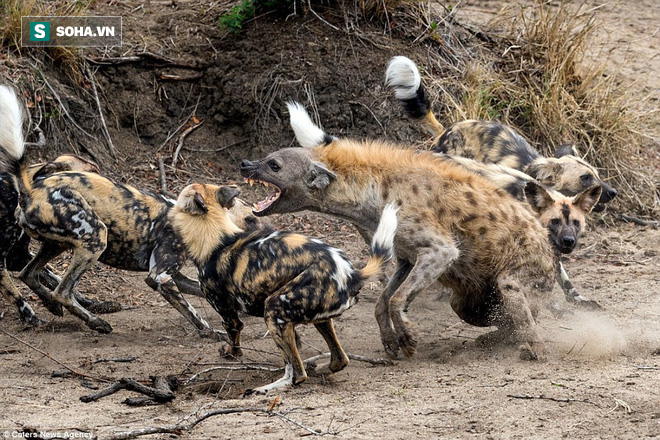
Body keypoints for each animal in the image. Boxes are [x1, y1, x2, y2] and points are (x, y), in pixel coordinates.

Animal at [0, 86, 262, 338]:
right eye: (250, 218)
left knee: (29, 274)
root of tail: (30, 187)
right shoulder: (159, 278)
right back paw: (96, 322)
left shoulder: (175, 277)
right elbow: (193, 312)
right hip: (96, 237)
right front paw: (210, 333)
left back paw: (61, 309)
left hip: (57, 245)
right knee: (61, 291)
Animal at [240, 102, 560, 360]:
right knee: (480, 312)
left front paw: (408, 340)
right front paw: (391, 341)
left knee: (519, 304)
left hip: (523, 271)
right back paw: (494, 337)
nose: (244, 163)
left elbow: (396, 298)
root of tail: (548, 244)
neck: (372, 198)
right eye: (268, 158)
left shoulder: (439, 250)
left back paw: (532, 348)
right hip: (467, 298)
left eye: (274, 165)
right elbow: (385, 299)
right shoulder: (405, 256)